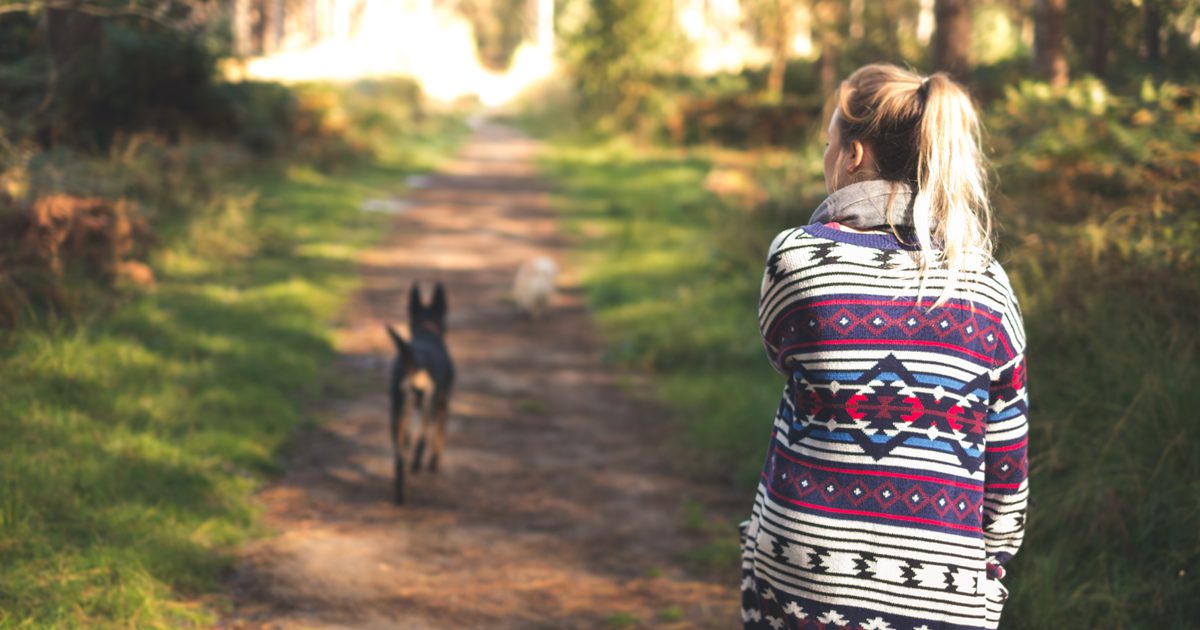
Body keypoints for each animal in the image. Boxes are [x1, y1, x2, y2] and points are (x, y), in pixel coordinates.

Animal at [388, 282, 453, 504]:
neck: (427, 331)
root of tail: (417, 364)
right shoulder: (443, 402)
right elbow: (439, 437)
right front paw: (434, 464)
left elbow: (408, 436)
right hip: (429, 405)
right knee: (423, 440)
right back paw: (417, 466)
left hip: (397, 411)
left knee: (399, 459)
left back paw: (400, 496)